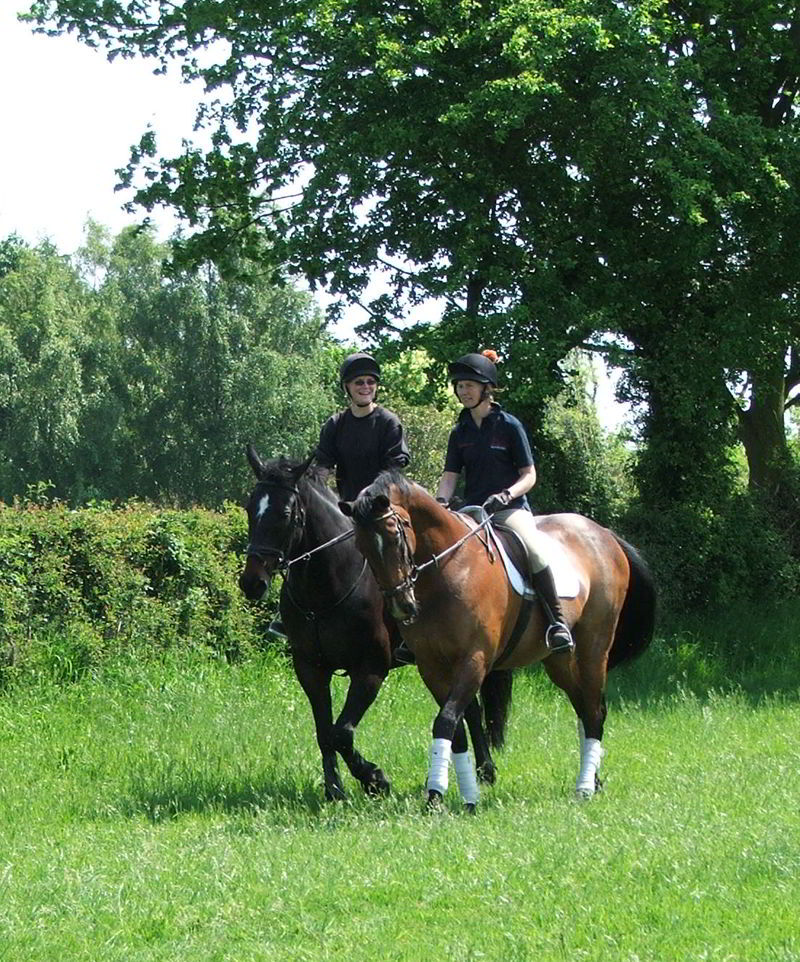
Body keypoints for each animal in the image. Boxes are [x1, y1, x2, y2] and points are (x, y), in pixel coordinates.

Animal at [236, 450, 506, 804]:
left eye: (284, 513)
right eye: (250, 508)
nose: (252, 583)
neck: (326, 587)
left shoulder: (371, 669)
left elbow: (342, 732)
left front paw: (375, 780)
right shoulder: (310, 668)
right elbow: (324, 732)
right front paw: (334, 789)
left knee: (469, 708)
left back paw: (485, 770)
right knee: (469, 708)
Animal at [340, 468, 656, 808]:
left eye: (395, 536)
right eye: (361, 546)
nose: (402, 606)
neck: (448, 570)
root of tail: (605, 534)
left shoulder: (474, 659)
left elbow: (447, 720)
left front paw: (442, 794)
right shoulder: (431, 666)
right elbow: (455, 728)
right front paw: (457, 795)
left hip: (593, 648)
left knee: (595, 710)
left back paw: (584, 787)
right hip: (557, 661)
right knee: (584, 706)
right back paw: (593, 780)